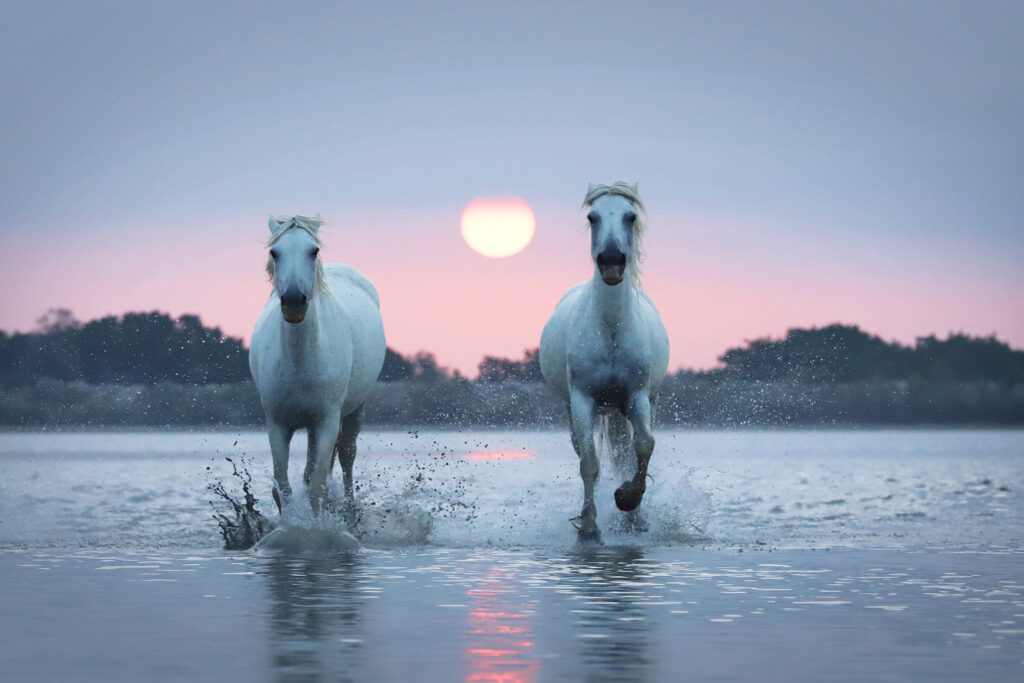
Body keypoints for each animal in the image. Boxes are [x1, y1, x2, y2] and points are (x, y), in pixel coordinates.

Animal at [249, 215, 386, 518]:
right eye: (274, 252)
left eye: (313, 251)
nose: (293, 302)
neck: (300, 362)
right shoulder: (278, 425)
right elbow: (282, 488)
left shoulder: (326, 423)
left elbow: (316, 487)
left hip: (353, 411)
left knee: (346, 457)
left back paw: (349, 510)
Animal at [539, 183, 670, 543]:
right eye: (592, 217)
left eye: (631, 216)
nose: (611, 262)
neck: (611, 328)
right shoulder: (583, 400)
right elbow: (589, 463)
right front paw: (589, 527)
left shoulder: (638, 397)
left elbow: (644, 446)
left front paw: (628, 500)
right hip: (583, 408)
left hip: (632, 405)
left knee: (626, 453)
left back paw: (633, 519)